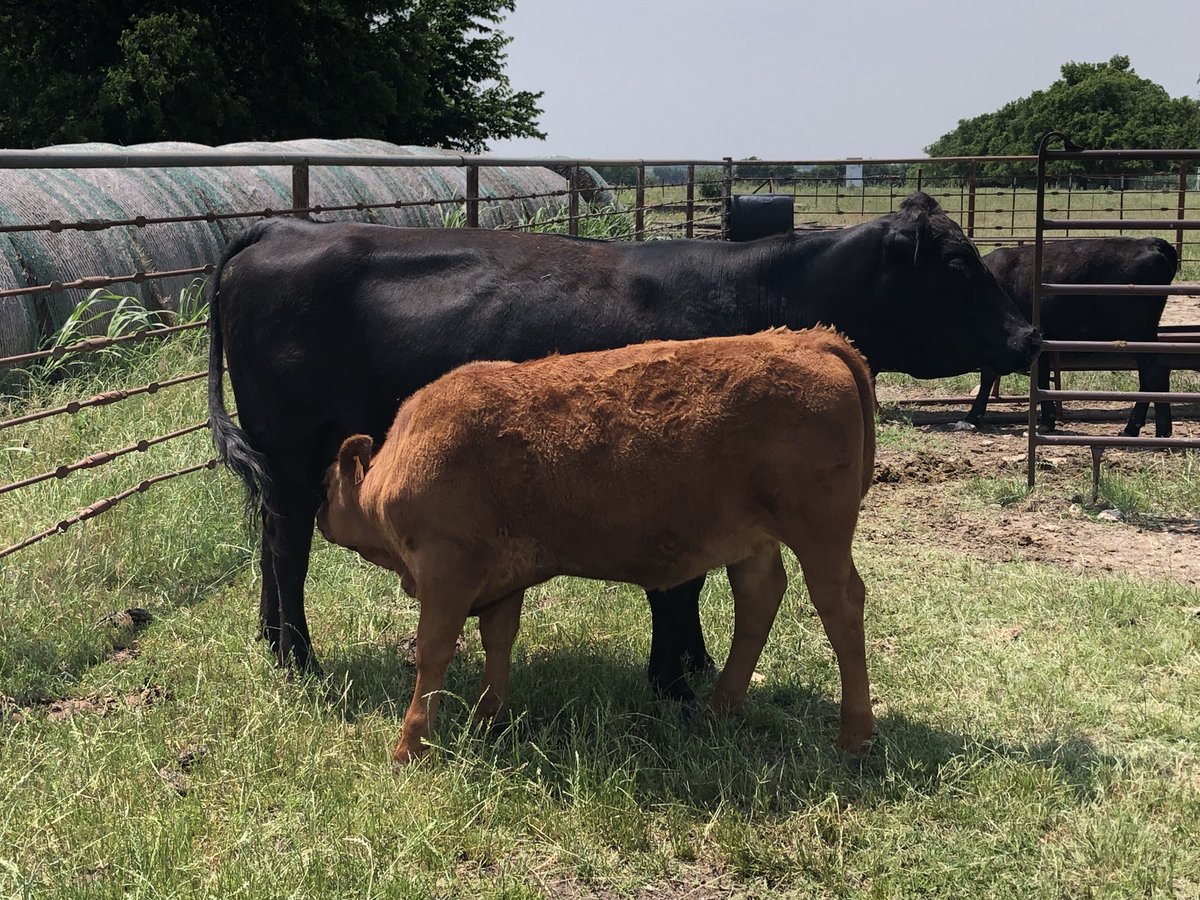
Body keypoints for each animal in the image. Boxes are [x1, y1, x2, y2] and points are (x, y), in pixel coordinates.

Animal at [207, 191, 1039, 701]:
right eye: (958, 265)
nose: (1030, 336)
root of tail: (285, 227)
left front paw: (694, 666)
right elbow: (678, 583)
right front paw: (672, 683)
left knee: (276, 546)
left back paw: (273, 646)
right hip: (287, 447)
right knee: (286, 548)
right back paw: (297, 658)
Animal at [316, 328, 878, 764]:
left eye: (326, 484)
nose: (319, 517)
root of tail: (809, 340)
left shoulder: (447, 568)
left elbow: (432, 653)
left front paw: (409, 747)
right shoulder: (502, 578)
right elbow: (498, 641)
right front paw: (488, 720)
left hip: (820, 536)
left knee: (841, 606)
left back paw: (854, 735)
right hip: (752, 540)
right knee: (759, 598)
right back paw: (719, 709)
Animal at [964, 237, 1177, 435]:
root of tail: (1150, 242)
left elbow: (989, 376)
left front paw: (972, 417)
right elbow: (1041, 376)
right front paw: (1047, 421)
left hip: (1137, 329)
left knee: (1154, 369)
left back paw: (1157, 430)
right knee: (1148, 374)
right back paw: (1136, 428)